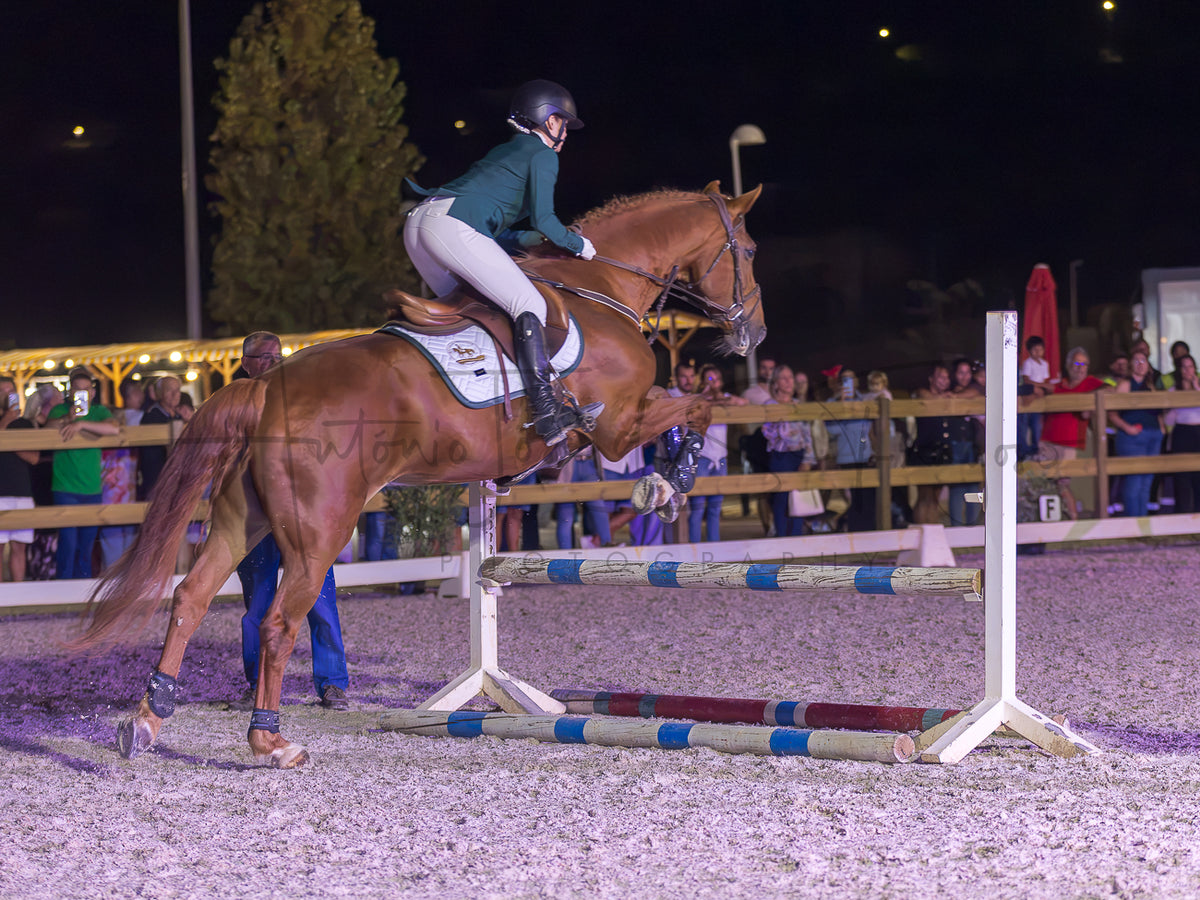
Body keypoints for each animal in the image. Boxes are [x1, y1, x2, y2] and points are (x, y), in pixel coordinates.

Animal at [70, 181, 766, 768]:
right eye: (751, 250)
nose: (754, 334)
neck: (601, 286)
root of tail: (265, 388)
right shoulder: (617, 424)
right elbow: (695, 405)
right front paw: (668, 481)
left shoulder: (620, 421)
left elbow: (684, 405)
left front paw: (664, 478)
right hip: (320, 533)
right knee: (277, 623)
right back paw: (269, 741)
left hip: (246, 517)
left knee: (190, 597)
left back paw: (147, 719)